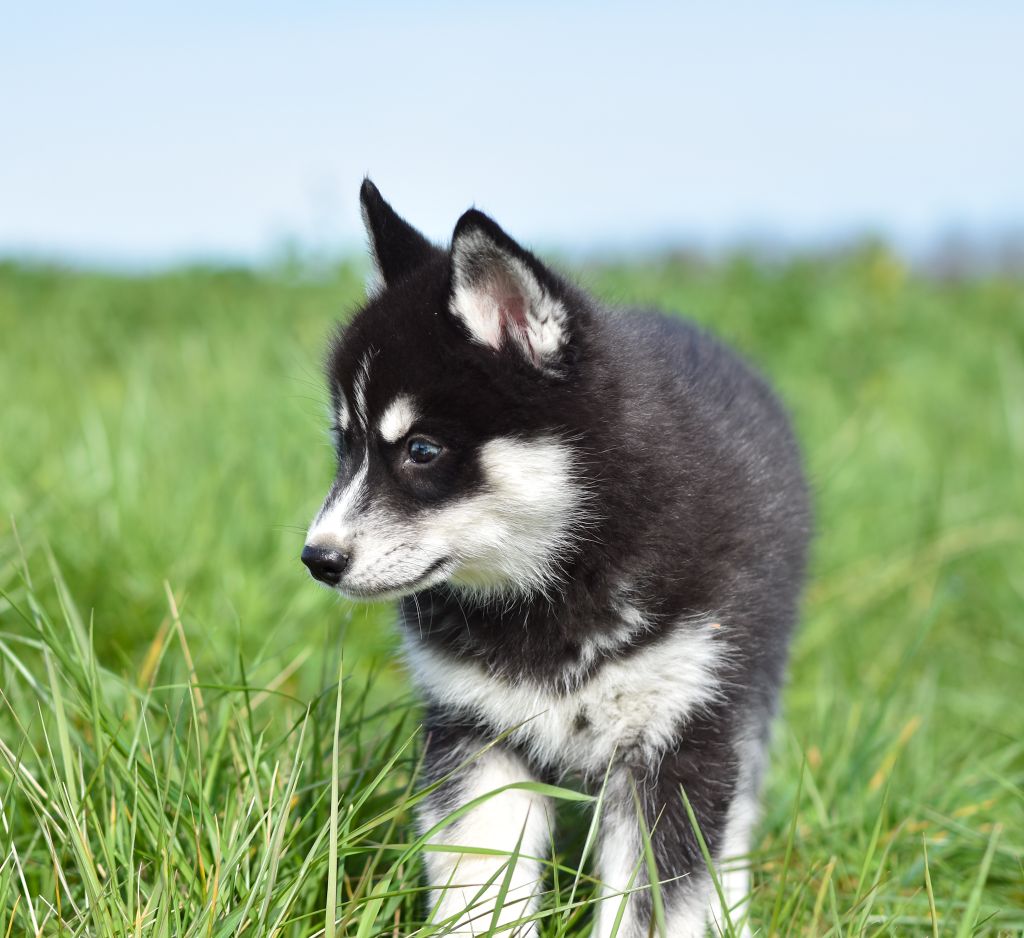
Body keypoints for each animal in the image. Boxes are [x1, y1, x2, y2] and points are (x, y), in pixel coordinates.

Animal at [299, 179, 811, 933]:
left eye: (421, 449)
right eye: (346, 445)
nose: (318, 558)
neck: (561, 580)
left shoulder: (677, 742)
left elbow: (657, 900)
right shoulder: (477, 735)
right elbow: (481, 889)